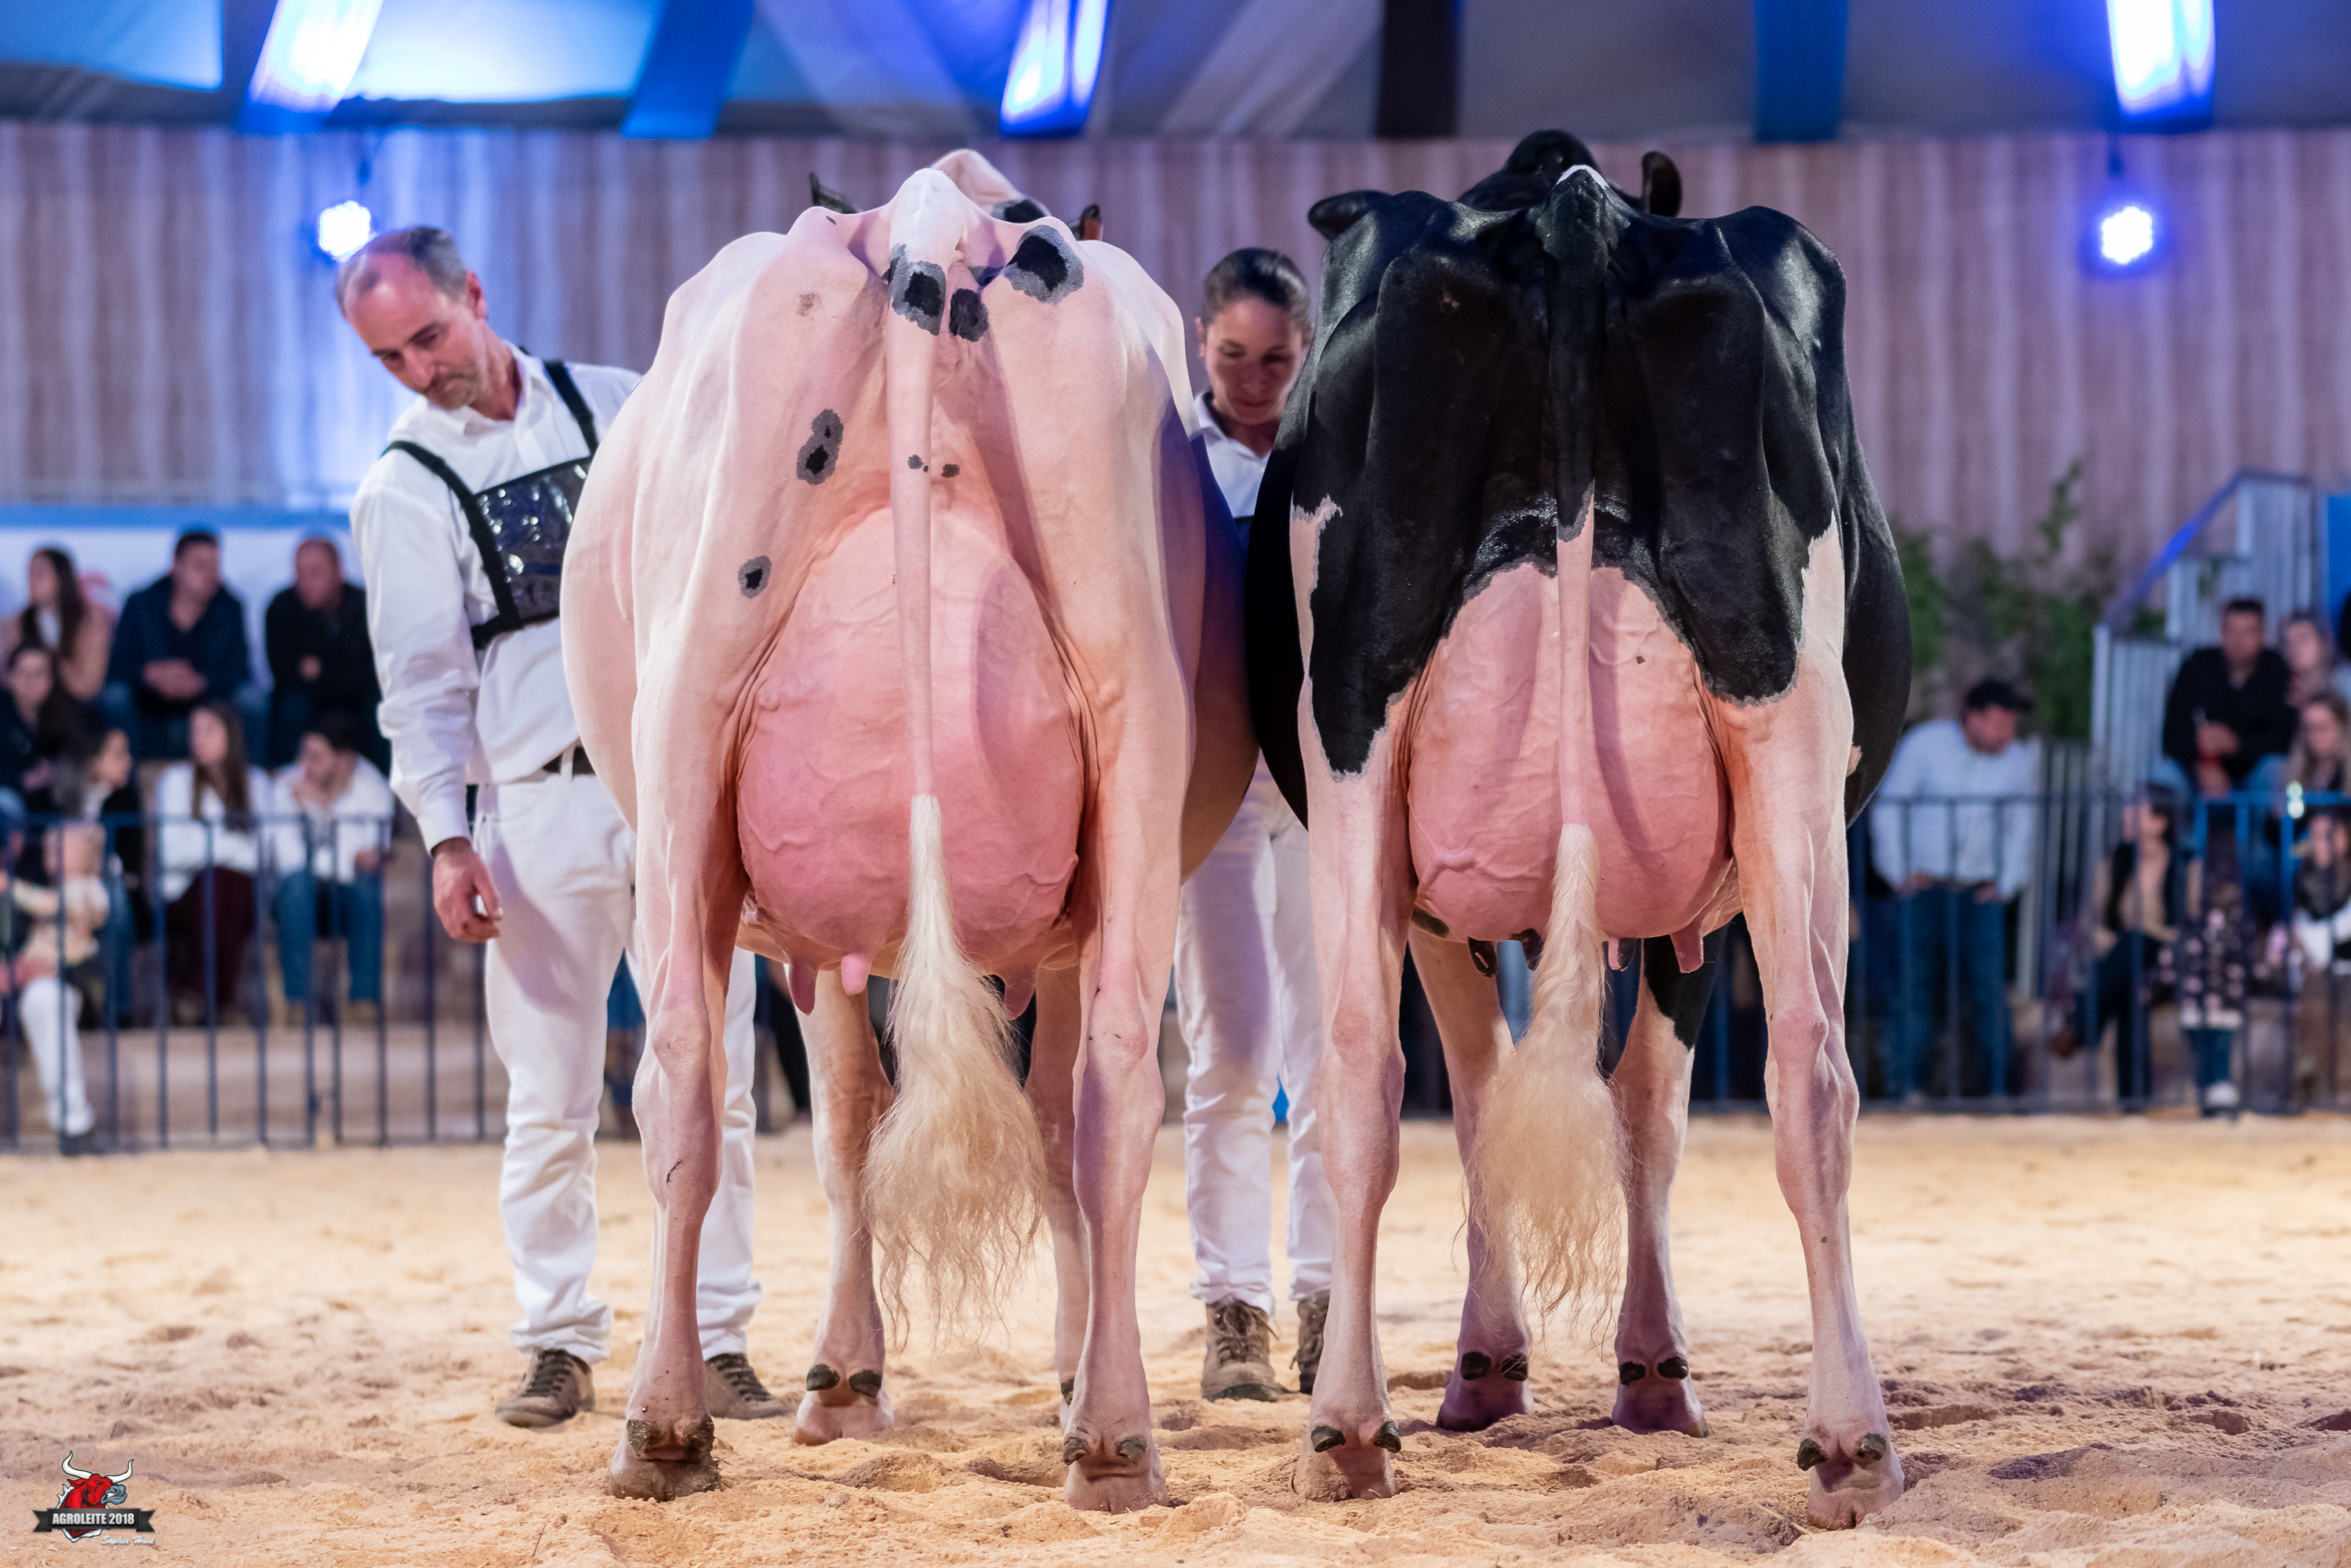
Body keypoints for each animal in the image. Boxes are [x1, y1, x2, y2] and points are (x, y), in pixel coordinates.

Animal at [562, 150, 1253, 1506]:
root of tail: (935, 216)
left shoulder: (811, 939)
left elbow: (846, 1120)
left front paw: (845, 1379)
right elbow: (988, 1125)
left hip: (683, 760)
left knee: (685, 1079)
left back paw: (665, 1430)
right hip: (1128, 742)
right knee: (1110, 1093)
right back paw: (1111, 1437)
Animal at [1245, 129, 1912, 1526]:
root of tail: (1572, 203)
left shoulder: (1433, 882)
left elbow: (1498, 1094)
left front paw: (1519, 1363)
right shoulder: (1688, 904)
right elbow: (1639, 1105)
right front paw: (1637, 1368)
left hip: (1357, 733)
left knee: (1359, 1070)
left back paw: (1346, 1429)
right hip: (1777, 735)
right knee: (1810, 1071)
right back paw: (1849, 1441)